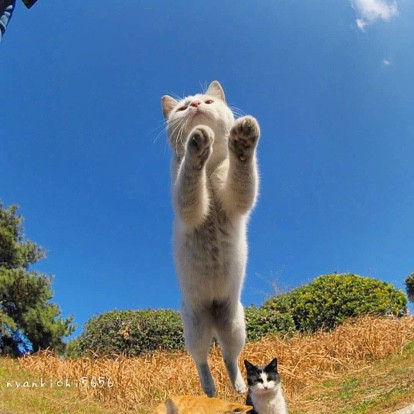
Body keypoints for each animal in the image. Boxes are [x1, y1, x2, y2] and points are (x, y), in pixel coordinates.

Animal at [161, 81, 260, 397]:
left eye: (207, 101)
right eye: (183, 107)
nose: (195, 106)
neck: (211, 165)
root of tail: (215, 317)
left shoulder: (236, 200)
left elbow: (242, 174)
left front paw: (242, 141)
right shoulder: (188, 207)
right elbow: (189, 179)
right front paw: (197, 142)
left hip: (234, 326)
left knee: (230, 358)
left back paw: (239, 387)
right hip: (196, 329)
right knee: (202, 360)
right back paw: (210, 389)